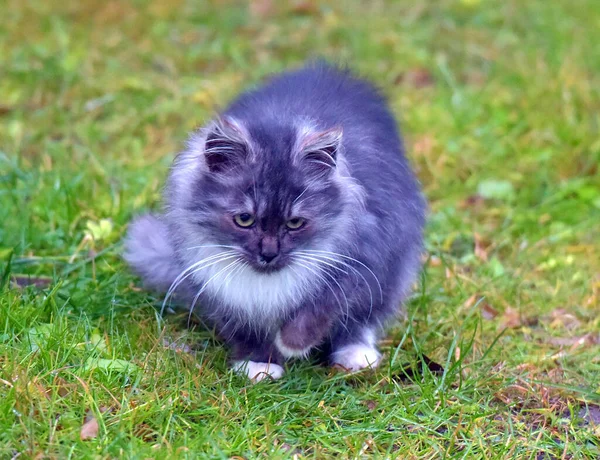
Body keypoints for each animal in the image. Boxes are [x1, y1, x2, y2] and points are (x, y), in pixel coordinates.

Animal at [124, 63, 426, 382]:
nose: (269, 253)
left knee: (363, 320)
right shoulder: (218, 289)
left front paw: (293, 343)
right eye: (244, 219)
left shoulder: (365, 259)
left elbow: (323, 305)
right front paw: (258, 363)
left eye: (294, 223)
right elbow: (245, 329)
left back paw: (356, 355)